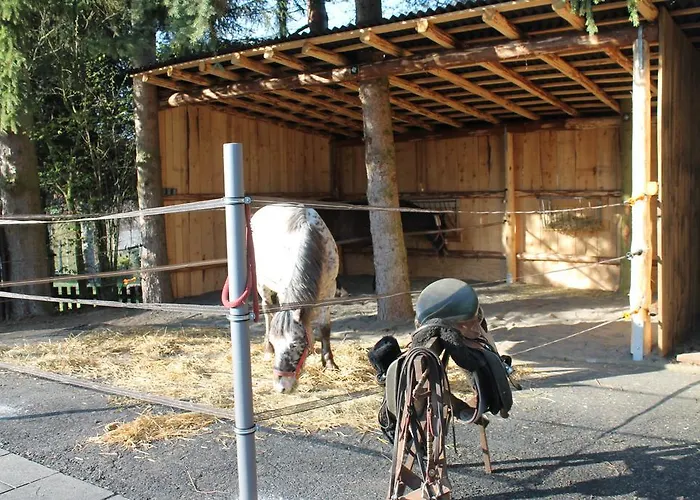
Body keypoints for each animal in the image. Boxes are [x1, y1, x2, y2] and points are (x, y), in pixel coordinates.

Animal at [251, 204, 340, 394]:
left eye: (295, 344)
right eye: (275, 343)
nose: (281, 387)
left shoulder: (329, 290)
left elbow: (324, 328)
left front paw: (329, 363)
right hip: (262, 284)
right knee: (268, 312)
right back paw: (266, 351)